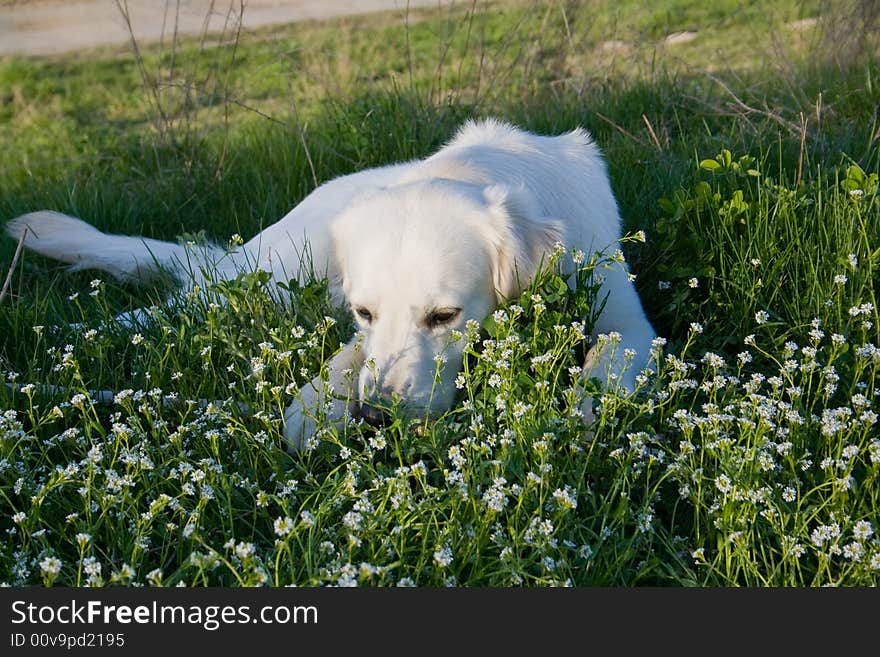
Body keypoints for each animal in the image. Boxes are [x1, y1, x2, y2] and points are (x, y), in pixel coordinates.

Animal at [5, 119, 652, 452]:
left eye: (444, 317)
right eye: (364, 313)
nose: (377, 419)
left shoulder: (627, 316)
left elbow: (607, 362)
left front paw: (585, 414)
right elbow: (347, 360)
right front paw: (316, 406)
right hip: (277, 274)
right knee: (174, 306)